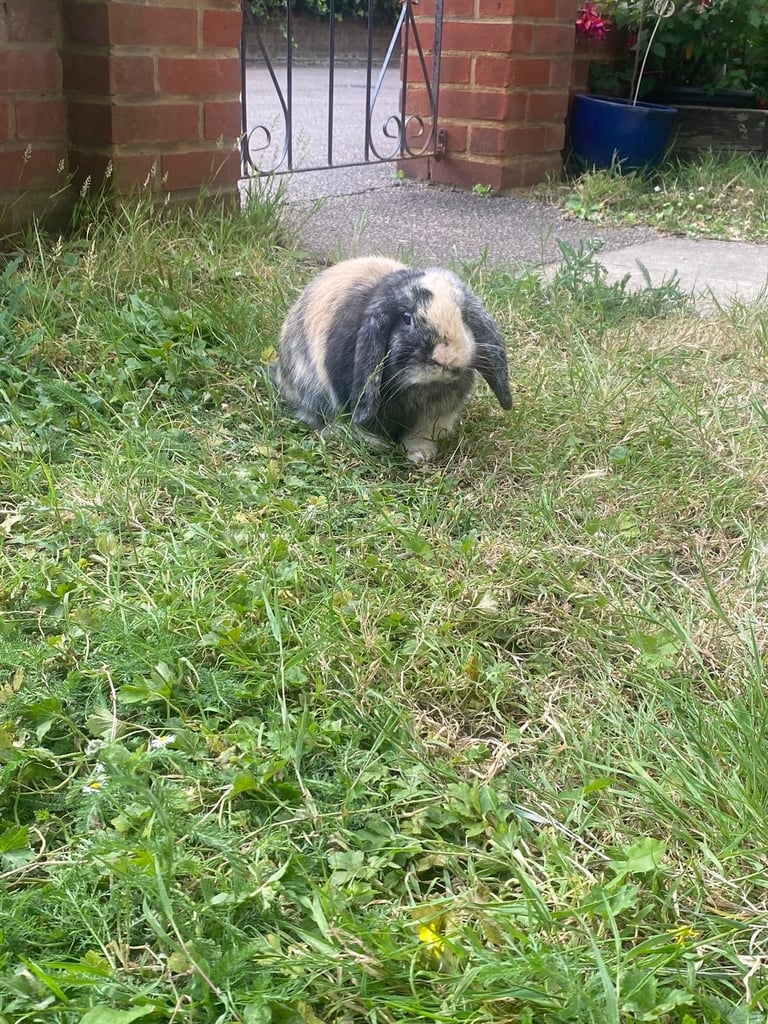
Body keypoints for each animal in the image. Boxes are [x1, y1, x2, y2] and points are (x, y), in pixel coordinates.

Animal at [271, 256, 512, 464]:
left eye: (462, 316)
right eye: (406, 318)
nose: (446, 357)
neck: (419, 386)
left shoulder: (435, 416)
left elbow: (420, 436)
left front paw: (421, 455)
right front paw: (379, 445)